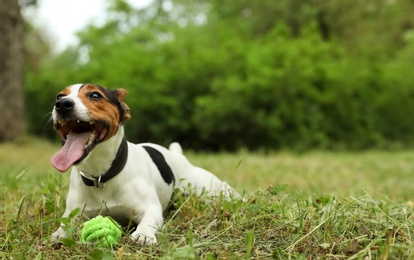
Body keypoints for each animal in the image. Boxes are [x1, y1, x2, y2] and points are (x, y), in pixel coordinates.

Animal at [50, 83, 234, 244]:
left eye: (95, 95)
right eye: (60, 96)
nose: (62, 104)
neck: (101, 176)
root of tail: (176, 154)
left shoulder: (150, 208)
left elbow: (148, 220)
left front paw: (143, 235)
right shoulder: (74, 213)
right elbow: (64, 224)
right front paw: (59, 233)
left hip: (210, 189)